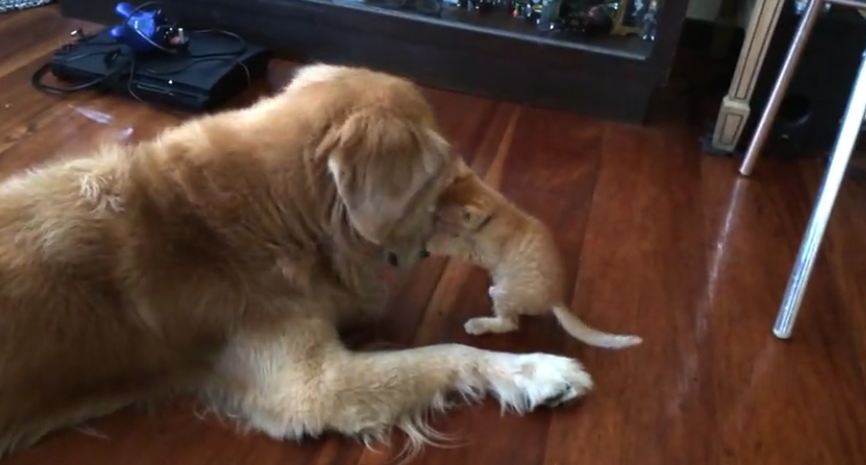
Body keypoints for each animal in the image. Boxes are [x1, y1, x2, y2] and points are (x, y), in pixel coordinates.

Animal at [0, 64, 592, 456]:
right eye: (435, 182)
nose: (429, 246)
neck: (276, 209)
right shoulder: (316, 386)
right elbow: (446, 353)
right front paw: (537, 370)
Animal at [426, 167, 636, 348]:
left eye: (440, 217)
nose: (431, 216)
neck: (496, 212)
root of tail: (555, 298)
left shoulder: (484, 254)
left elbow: (458, 246)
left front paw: (434, 241)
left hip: (507, 292)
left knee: (510, 323)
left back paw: (479, 324)